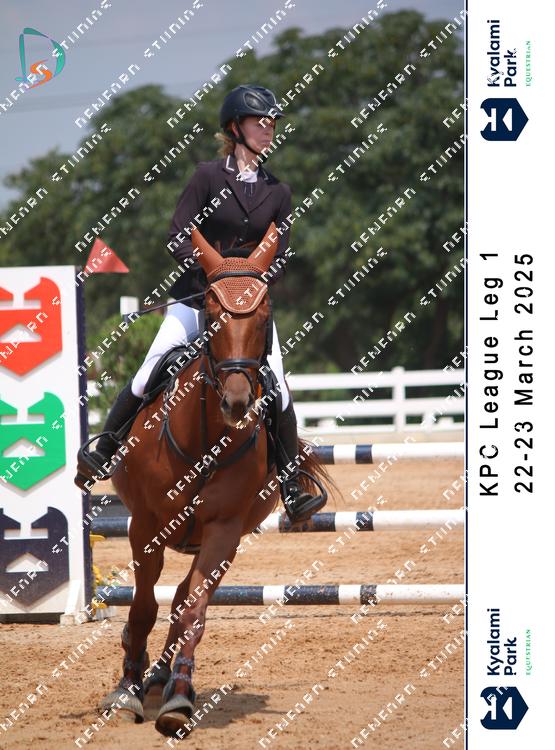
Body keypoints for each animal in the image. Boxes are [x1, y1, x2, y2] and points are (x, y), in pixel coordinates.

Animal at [96, 222, 334, 737]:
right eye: (210, 310)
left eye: (263, 313)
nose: (238, 402)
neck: (205, 438)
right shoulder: (145, 527)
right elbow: (143, 607)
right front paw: (125, 690)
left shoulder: (224, 531)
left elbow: (193, 611)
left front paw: (179, 698)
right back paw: (142, 675)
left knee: (184, 598)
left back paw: (163, 677)